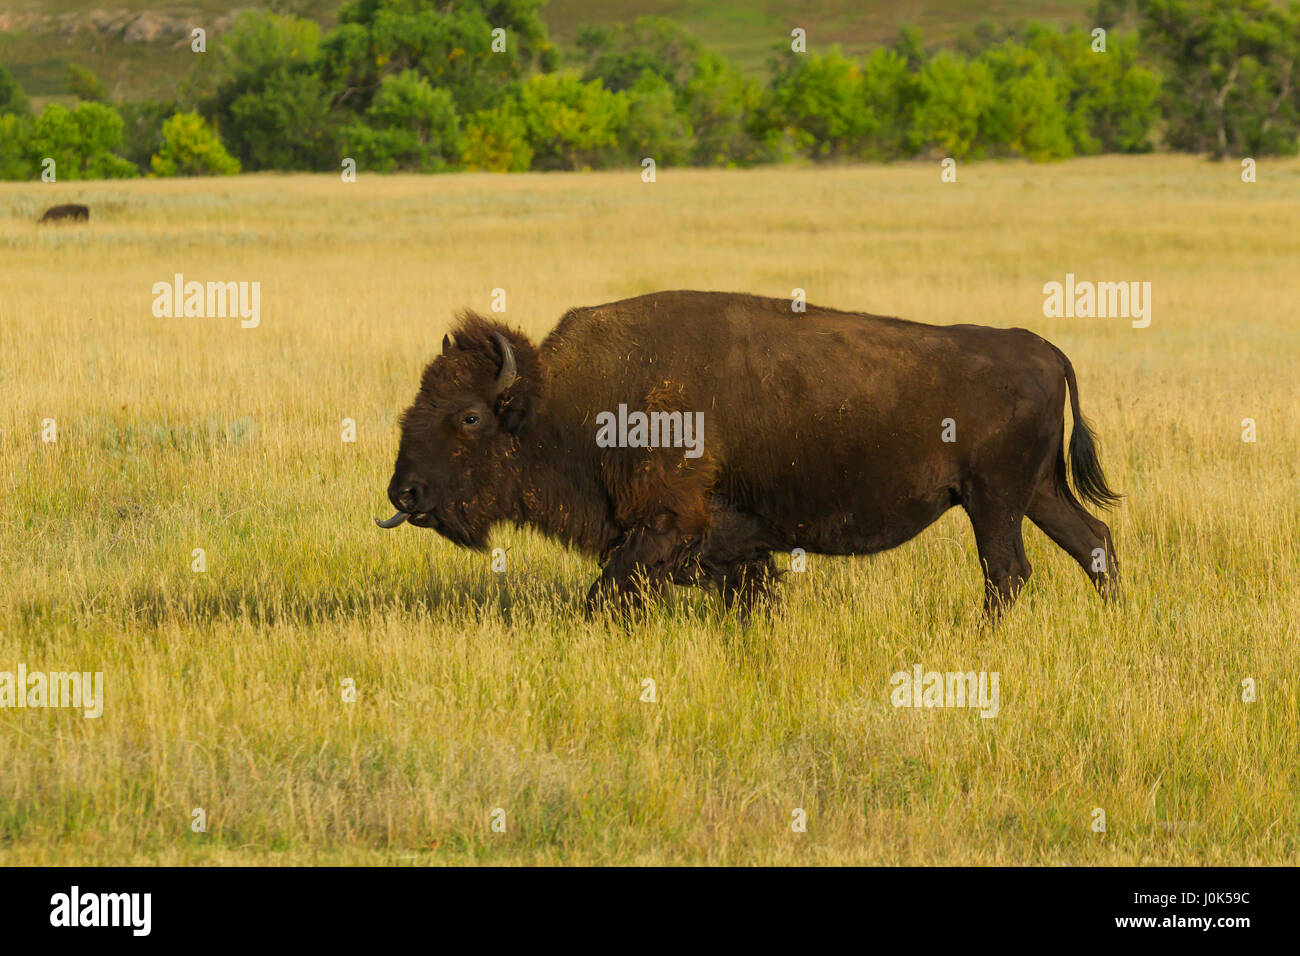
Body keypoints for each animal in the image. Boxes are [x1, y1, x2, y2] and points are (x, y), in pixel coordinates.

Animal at [379, 291, 1120, 618]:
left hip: (993, 500)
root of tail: (1043, 350)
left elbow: (607, 591)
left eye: (468, 415)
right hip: (1036, 493)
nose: (404, 493)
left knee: (1008, 570)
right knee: (1092, 540)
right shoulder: (731, 544)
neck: (560, 400)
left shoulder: (665, 525)